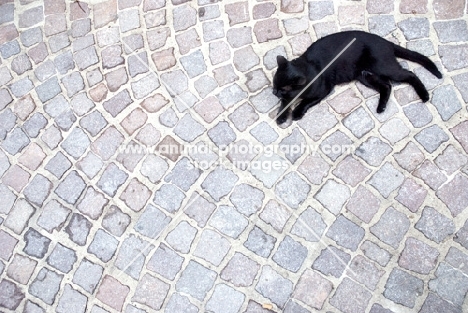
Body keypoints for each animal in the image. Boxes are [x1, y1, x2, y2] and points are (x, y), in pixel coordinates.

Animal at [272, 30, 440, 124]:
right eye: (274, 85)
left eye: (283, 89)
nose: (274, 92)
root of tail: (387, 42)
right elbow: (285, 104)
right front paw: (281, 117)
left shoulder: (324, 90)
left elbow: (305, 101)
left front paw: (296, 113)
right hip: (365, 76)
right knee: (386, 86)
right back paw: (381, 107)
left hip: (385, 68)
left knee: (410, 74)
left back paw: (424, 95)